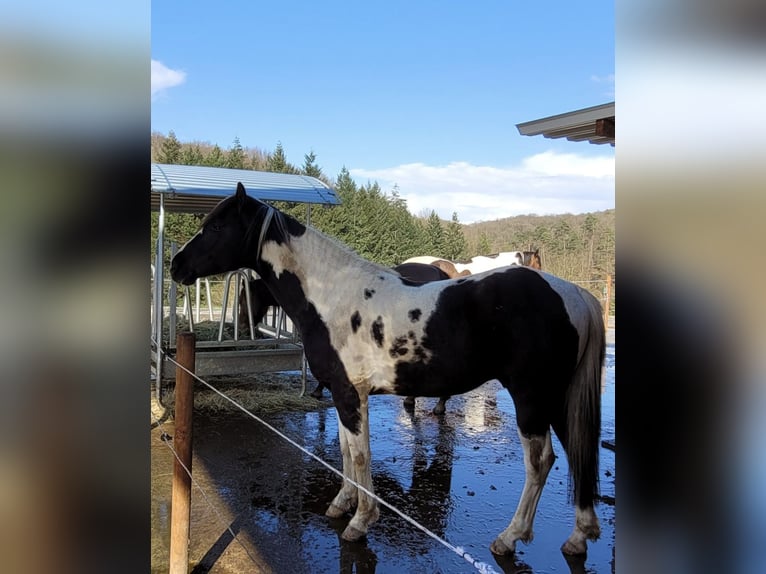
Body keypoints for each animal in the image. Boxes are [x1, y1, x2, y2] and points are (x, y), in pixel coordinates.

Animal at [172, 184, 608, 560]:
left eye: (216, 227)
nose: (177, 266)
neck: (331, 297)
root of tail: (575, 295)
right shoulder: (343, 395)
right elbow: (346, 451)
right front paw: (341, 504)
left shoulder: (351, 394)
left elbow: (360, 455)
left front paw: (361, 521)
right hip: (559, 398)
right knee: (574, 453)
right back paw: (578, 539)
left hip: (532, 398)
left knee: (540, 462)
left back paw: (509, 537)